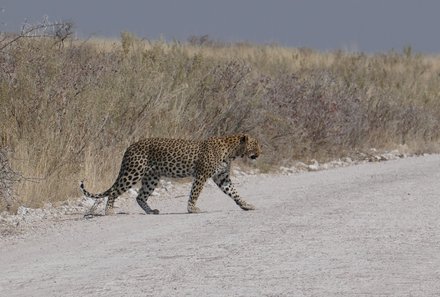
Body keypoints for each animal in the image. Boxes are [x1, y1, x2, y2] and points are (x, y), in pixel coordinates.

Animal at [79, 134, 260, 215]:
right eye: (255, 145)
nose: (260, 153)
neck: (232, 152)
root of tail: (130, 147)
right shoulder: (201, 175)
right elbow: (195, 193)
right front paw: (192, 209)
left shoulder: (222, 177)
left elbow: (234, 192)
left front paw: (246, 205)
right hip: (133, 172)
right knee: (115, 191)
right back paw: (109, 211)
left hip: (152, 177)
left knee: (140, 196)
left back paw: (151, 211)